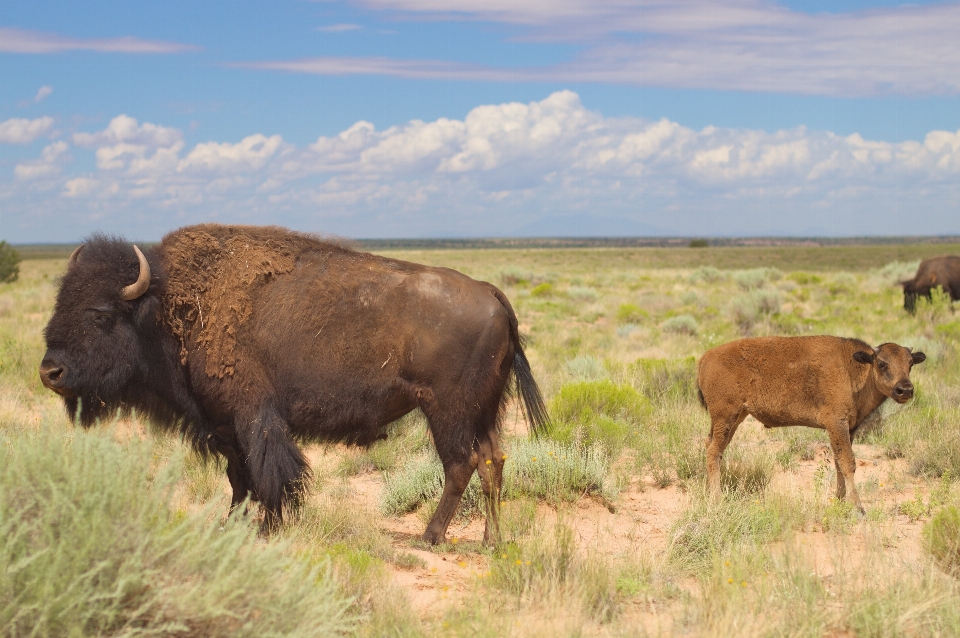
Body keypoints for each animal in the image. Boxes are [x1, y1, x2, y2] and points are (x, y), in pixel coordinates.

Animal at [39, 225, 548, 544]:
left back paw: (430, 536)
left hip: (448, 413)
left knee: (461, 465)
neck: (166, 306)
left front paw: (266, 528)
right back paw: (492, 540)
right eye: (60, 301)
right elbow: (239, 480)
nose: (50, 373)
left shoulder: (253, 419)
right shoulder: (225, 427)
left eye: (101, 314)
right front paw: (233, 526)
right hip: (485, 413)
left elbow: (266, 478)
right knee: (493, 462)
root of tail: (492, 294)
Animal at [692, 338, 928, 512]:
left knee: (711, 446)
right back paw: (717, 499)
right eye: (881, 363)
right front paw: (858, 508)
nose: (905, 390)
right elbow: (848, 462)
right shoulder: (836, 424)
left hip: (735, 418)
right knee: (714, 451)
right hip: (725, 416)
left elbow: (839, 463)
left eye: (910, 364)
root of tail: (705, 358)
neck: (854, 368)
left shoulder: (847, 429)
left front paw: (840, 501)